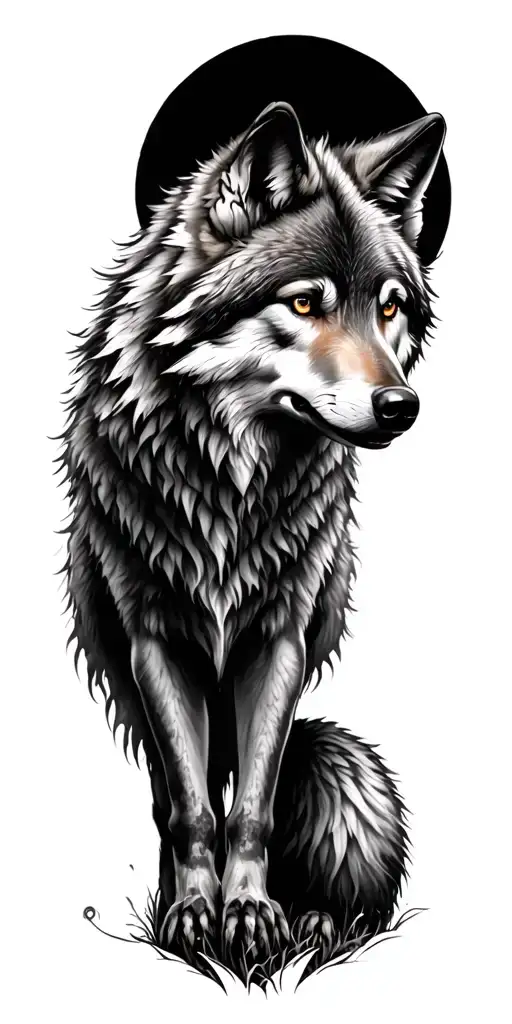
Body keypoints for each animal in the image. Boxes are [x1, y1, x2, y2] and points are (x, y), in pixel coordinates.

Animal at [60, 100, 445, 968]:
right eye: (305, 304)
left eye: (389, 306)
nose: (401, 408)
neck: (231, 486)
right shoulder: (155, 641)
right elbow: (194, 809)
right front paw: (196, 917)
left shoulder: (280, 640)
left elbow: (252, 809)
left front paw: (248, 916)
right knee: (177, 799)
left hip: (332, 757)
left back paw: (314, 923)